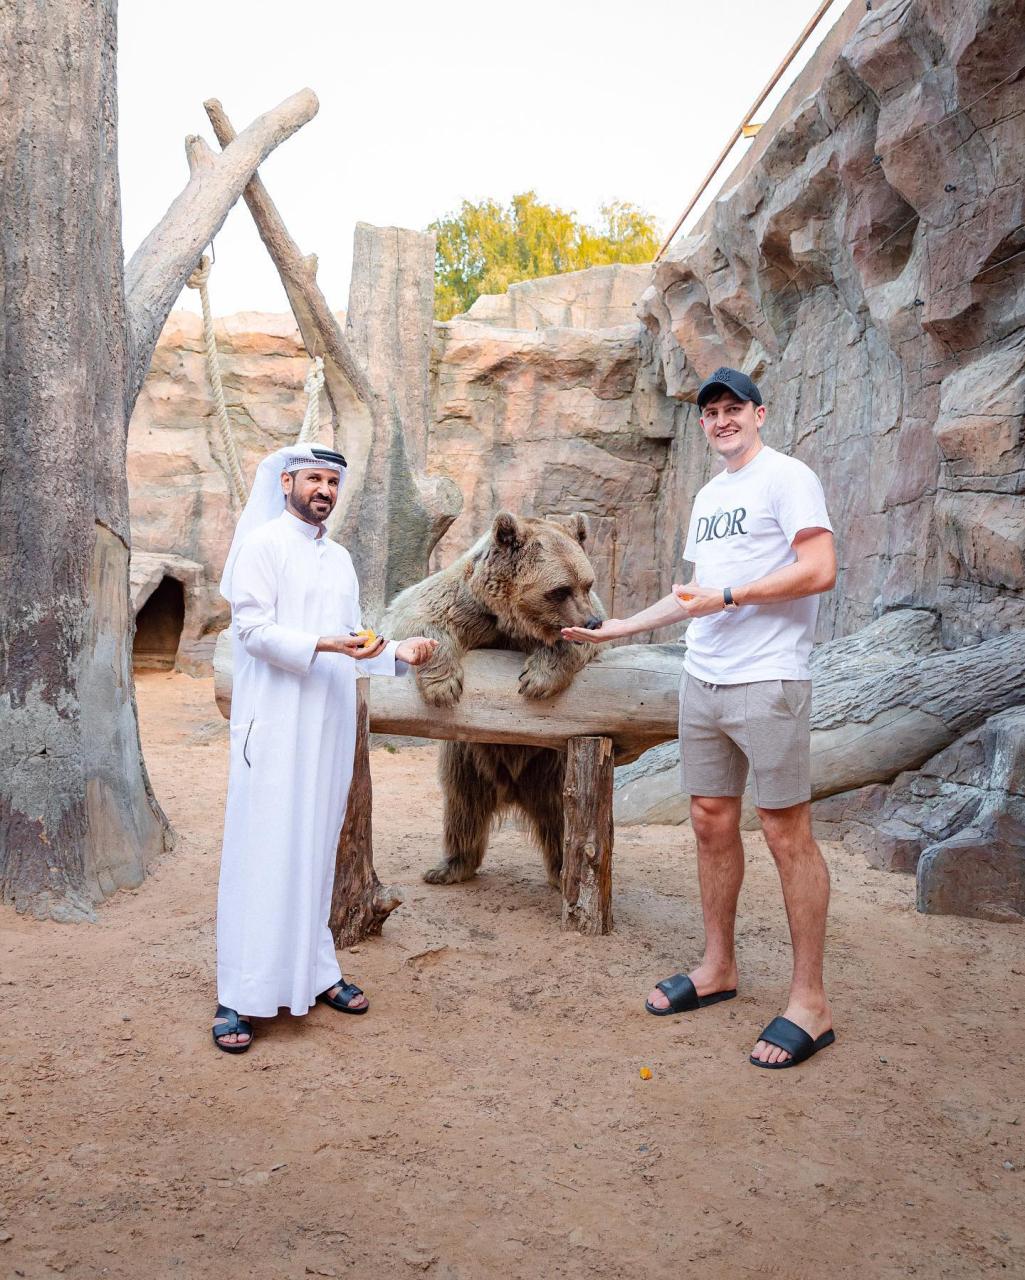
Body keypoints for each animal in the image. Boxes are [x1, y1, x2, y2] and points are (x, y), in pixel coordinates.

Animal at [381, 506, 603, 880]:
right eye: (560, 590)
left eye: (587, 583)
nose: (592, 622)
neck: (513, 621)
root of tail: (512, 789)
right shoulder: (466, 606)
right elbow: (418, 616)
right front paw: (443, 686)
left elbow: (582, 647)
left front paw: (537, 677)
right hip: (468, 758)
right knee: (462, 805)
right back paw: (449, 866)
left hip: (554, 766)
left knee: (562, 814)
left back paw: (562, 869)